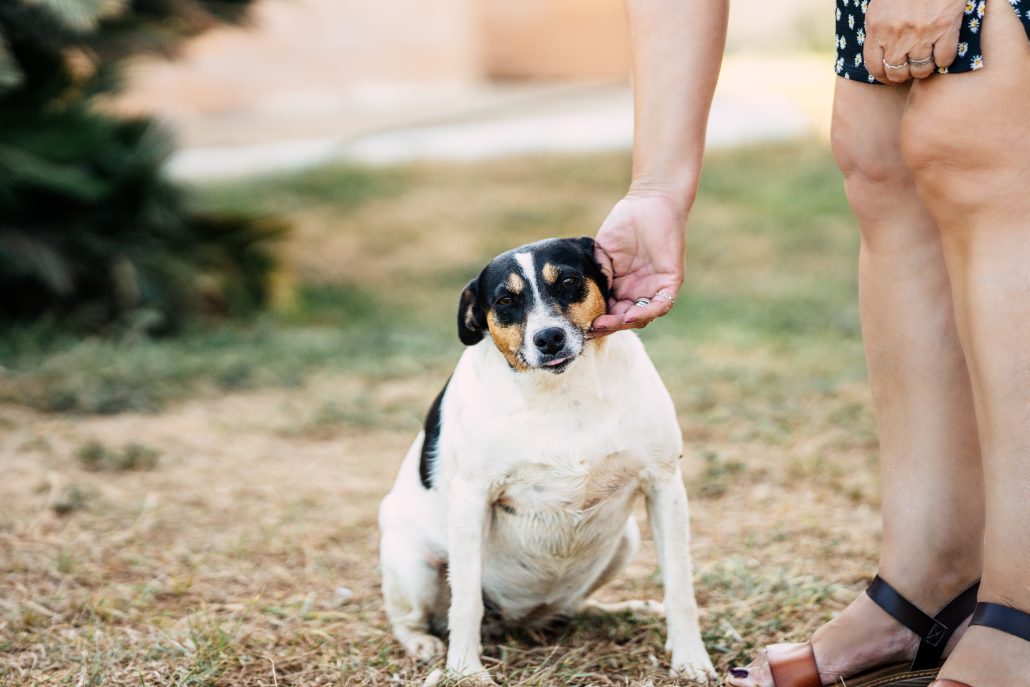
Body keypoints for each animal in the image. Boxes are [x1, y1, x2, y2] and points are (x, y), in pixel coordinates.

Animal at [379, 236, 716, 683]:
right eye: (505, 300)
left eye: (569, 282)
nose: (549, 338)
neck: (563, 394)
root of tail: (518, 620)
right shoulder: (471, 499)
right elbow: (465, 601)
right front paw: (466, 672)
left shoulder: (664, 484)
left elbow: (679, 585)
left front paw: (690, 658)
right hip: (414, 566)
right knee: (412, 619)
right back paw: (422, 643)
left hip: (625, 541)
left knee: (572, 607)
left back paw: (624, 609)